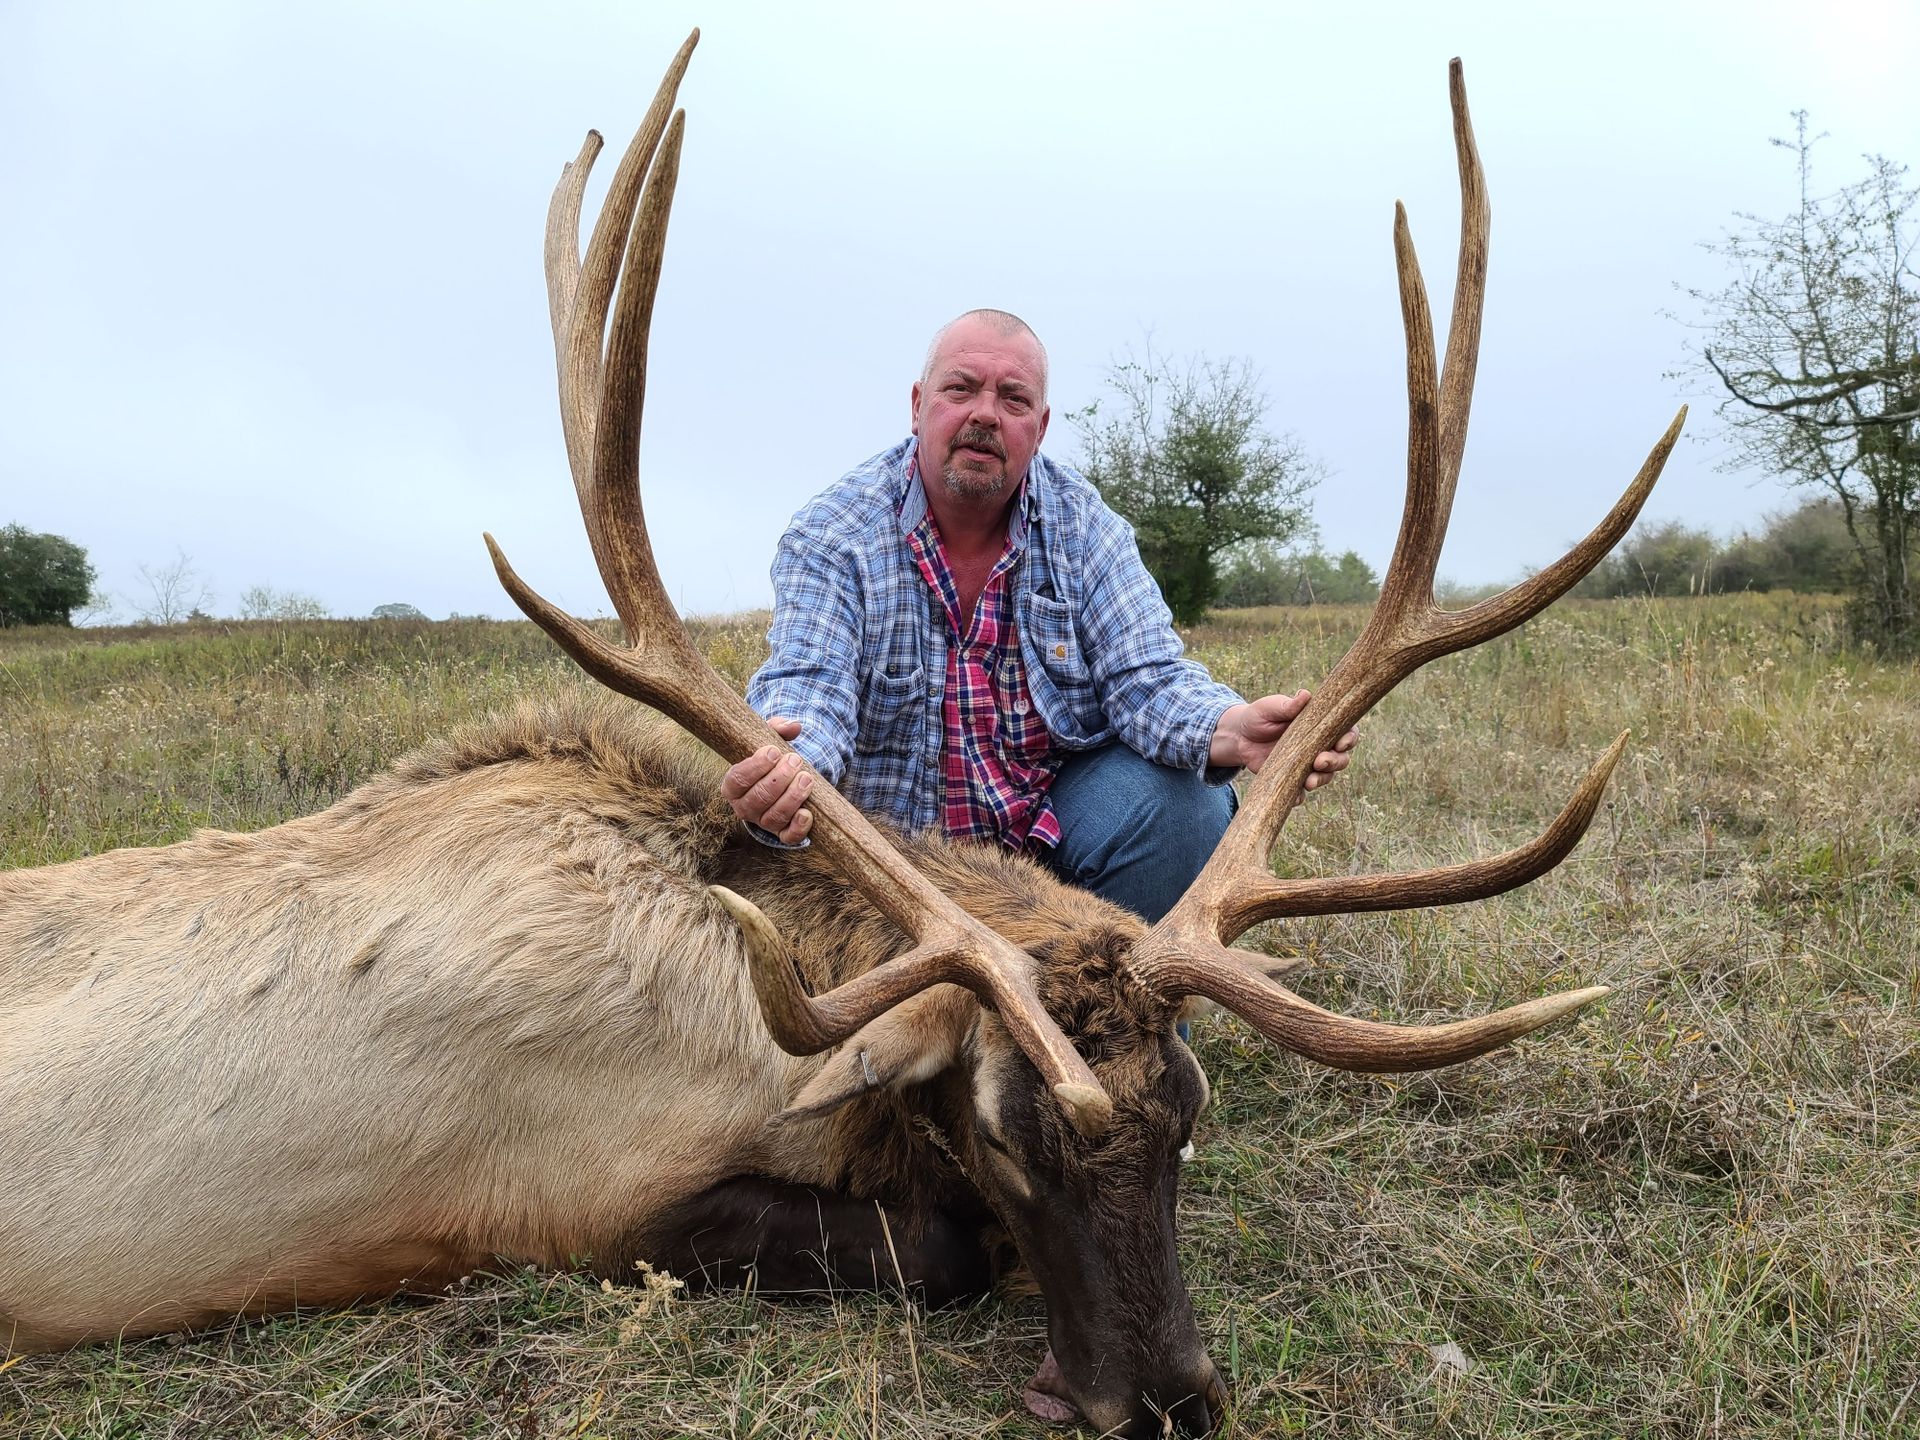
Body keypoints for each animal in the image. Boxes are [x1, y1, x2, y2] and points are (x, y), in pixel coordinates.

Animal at [0, 29, 1682, 1438]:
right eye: (1004, 1136)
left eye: (1189, 1118)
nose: (1168, 1402)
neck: (758, 999)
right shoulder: (576, 1202)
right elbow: (938, 1251)